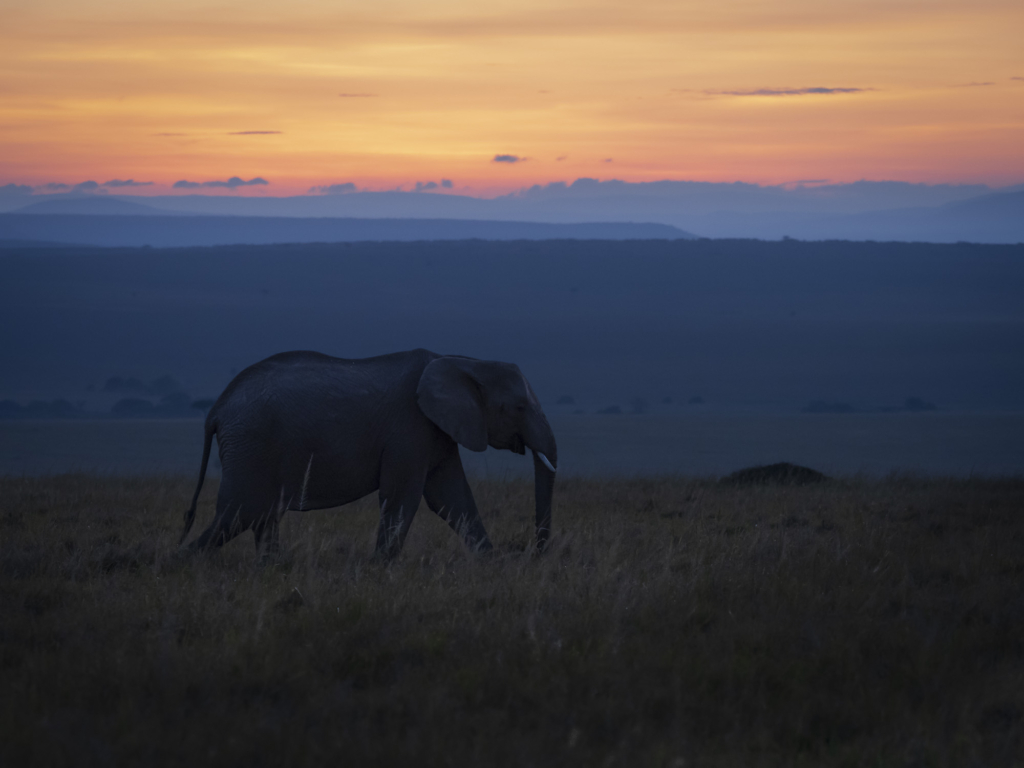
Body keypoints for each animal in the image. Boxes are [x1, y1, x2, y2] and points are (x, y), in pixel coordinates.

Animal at [180, 348, 557, 561]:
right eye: (519, 407)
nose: (534, 553)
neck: (464, 362)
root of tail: (216, 410)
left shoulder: (437, 430)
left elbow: (452, 497)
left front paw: (491, 563)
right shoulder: (410, 427)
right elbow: (403, 495)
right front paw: (380, 566)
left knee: (260, 514)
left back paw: (272, 567)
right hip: (251, 445)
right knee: (242, 511)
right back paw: (184, 562)